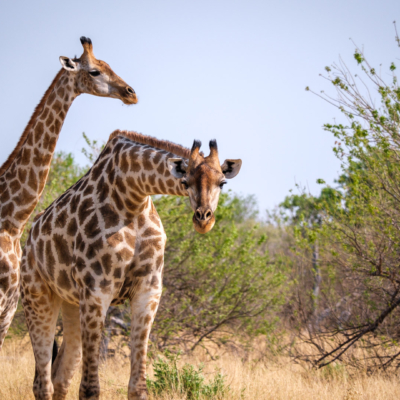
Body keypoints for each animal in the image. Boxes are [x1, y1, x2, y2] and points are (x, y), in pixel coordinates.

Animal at [19, 130, 241, 398]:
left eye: (222, 182)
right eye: (185, 181)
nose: (203, 219)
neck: (133, 196)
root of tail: (28, 239)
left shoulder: (149, 289)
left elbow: (138, 387)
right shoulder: (97, 290)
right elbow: (90, 389)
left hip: (70, 301)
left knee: (60, 376)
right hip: (36, 295)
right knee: (42, 382)